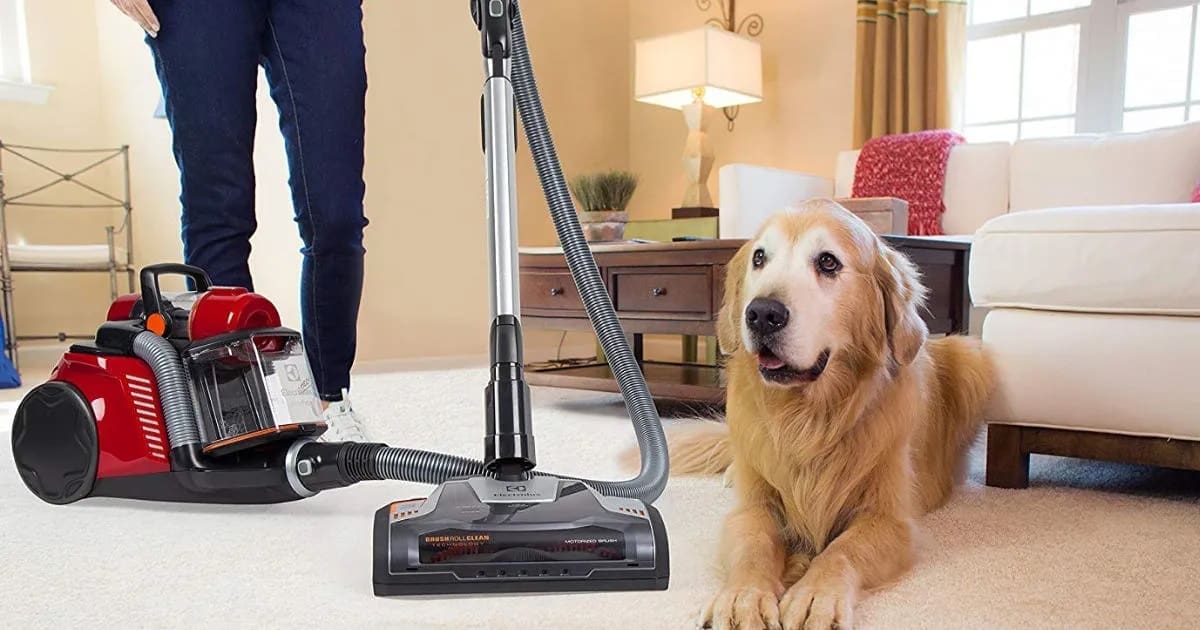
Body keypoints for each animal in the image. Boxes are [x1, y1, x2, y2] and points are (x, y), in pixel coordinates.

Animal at [672, 201, 998, 628]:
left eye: (828, 262)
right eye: (759, 258)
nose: (761, 314)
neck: (807, 417)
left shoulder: (889, 519)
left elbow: (842, 550)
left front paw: (814, 594)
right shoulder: (752, 509)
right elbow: (754, 543)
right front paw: (743, 596)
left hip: (974, 359)